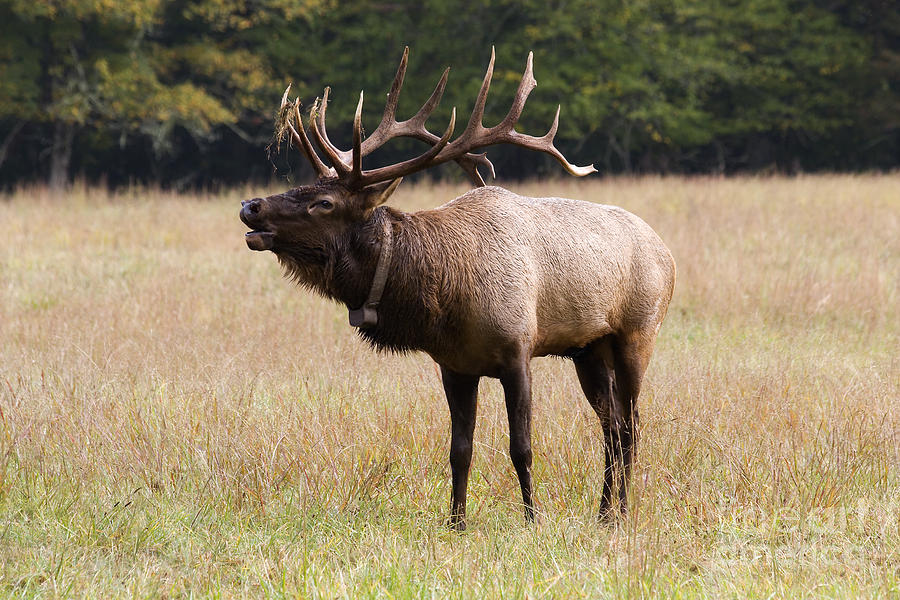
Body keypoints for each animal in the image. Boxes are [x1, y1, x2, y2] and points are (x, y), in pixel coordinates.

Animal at [239, 48, 676, 528]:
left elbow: (521, 447)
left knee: (631, 424)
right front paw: (456, 522)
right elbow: (459, 450)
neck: (448, 302)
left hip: (638, 331)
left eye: (324, 202)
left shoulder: (518, 350)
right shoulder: (454, 366)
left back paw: (621, 511)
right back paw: (603, 513)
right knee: (612, 425)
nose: (250, 205)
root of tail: (667, 252)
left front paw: (532, 519)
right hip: (589, 349)